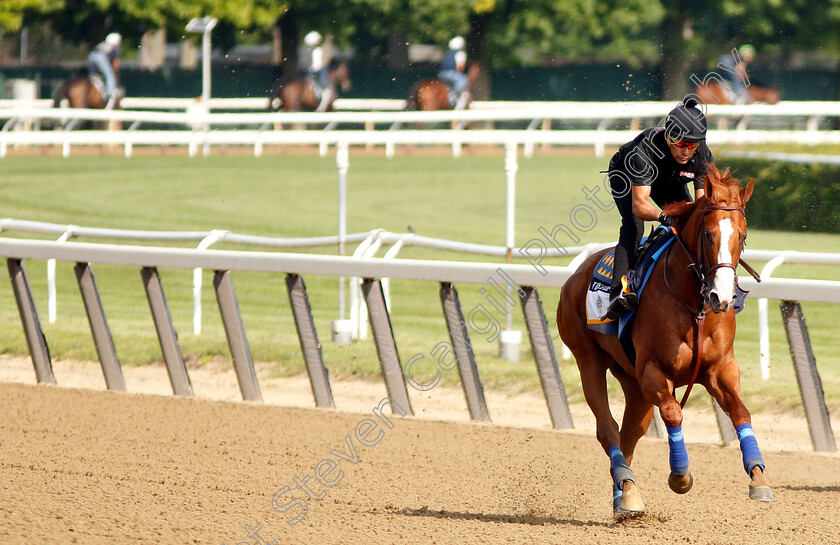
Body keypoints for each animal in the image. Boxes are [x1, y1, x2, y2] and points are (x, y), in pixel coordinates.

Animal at [556, 166, 772, 520]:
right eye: (708, 235)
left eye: (742, 236)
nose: (723, 298)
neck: (694, 306)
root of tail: (577, 274)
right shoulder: (653, 371)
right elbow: (673, 413)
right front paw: (680, 476)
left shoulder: (720, 368)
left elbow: (741, 412)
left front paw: (758, 477)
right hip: (588, 359)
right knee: (607, 429)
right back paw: (628, 490)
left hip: (632, 383)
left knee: (629, 434)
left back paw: (625, 495)